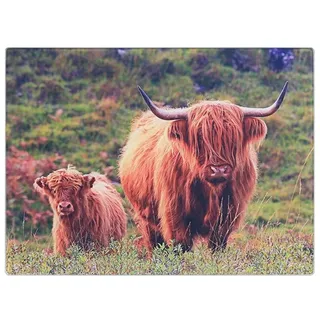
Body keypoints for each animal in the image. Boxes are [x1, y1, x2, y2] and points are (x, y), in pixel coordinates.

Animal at [119, 82, 288, 255]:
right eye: (199, 138)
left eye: (233, 137)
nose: (219, 170)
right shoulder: (175, 215)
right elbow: (180, 246)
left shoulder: (227, 216)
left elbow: (217, 246)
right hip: (146, 216)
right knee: (155, 243)